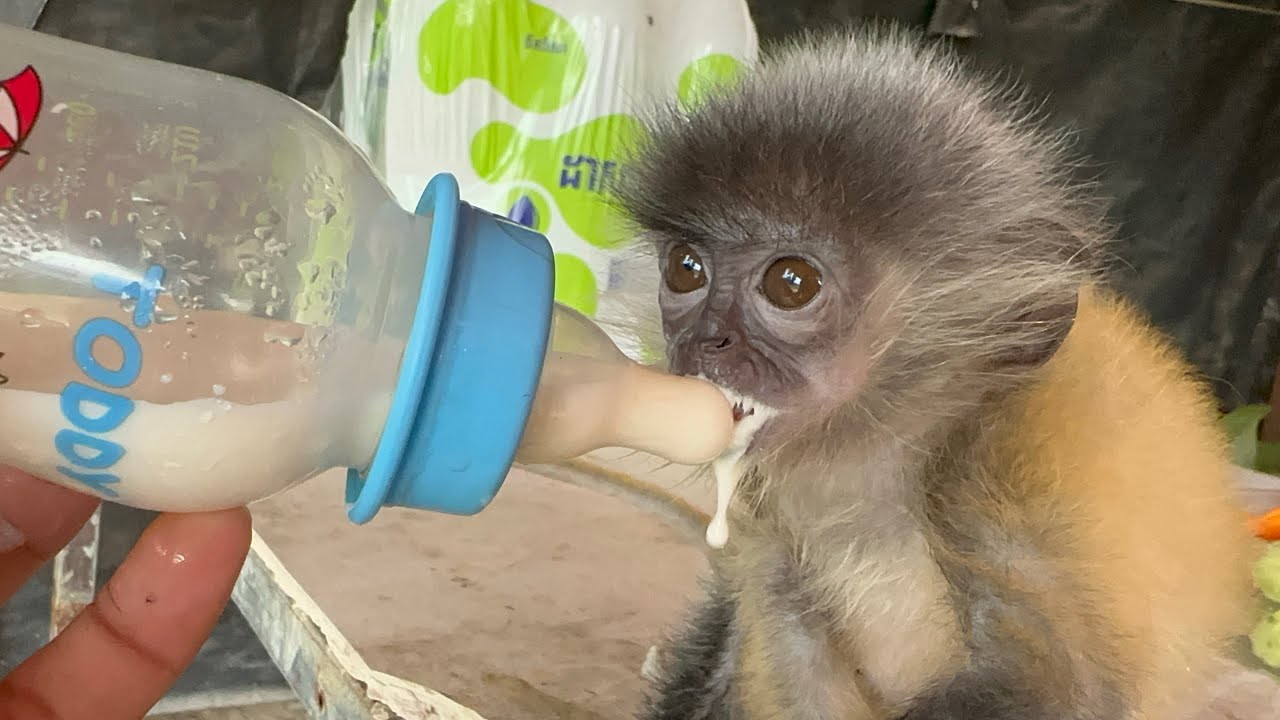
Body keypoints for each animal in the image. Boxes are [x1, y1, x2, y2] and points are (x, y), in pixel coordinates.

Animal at [611, 24, 1263, 720]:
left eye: (792, 283)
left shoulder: (1024, 459)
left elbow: (1065, 682)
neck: (876, 461)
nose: (705, 341)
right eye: (685, 268)